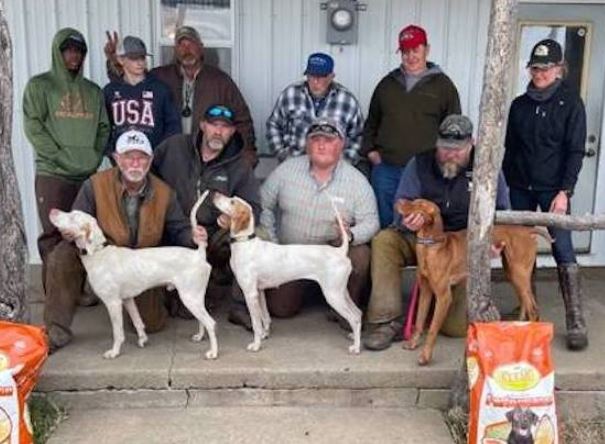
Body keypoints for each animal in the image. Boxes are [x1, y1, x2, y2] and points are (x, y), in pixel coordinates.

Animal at [47, 193, 217, 360]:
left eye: (72, 217)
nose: (53, 210)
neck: (98, 253)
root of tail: (198, 254)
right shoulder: (128, 300)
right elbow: (138, 322)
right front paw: (142, 339)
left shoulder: (113, 303)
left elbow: (118, 333)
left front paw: (114, 352)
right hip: (195, 298)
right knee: (202, 321)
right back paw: (200, 336)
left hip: (189, 298)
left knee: (210, 323)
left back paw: (213, 352)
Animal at [212, 192, 360, 354]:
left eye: (232, 202)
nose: (215, 193)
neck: (245, 242)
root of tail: (340, 251)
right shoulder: (259, 292)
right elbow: (265, 317)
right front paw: (265, 335)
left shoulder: (250, 293)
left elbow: (256, 323)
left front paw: (256, 345)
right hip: (341, 292)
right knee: (358, 313)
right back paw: (353, 336)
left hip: (333, 295)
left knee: (353, 318)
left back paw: (356, 347)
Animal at [394, 199, 548, 366]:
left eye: (420, 204)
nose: (398, 201)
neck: (430, 246)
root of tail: (528, 231)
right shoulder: (425, 291)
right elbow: (419, 321)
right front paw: (413, 343)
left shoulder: (444, 296)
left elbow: (433, 329)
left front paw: (425, 355)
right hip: (513, 273)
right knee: (527, 304)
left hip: (519, 273)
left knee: (533, 309)